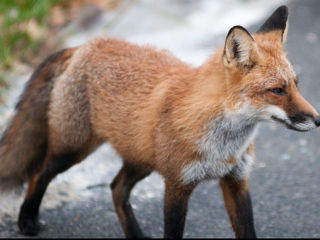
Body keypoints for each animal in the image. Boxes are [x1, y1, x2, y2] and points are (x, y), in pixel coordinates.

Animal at [0, 5, 320, 238]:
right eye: (277, 90)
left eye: (295, 85)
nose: (317, 120)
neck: (223, 146)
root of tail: (84, 45)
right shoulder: (177, 185)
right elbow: (173, 231)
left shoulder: (237, 181)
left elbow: (247, 230)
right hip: (73, 149)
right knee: (39, 173)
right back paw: (26, 220)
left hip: (141, 160)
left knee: (116, 188)